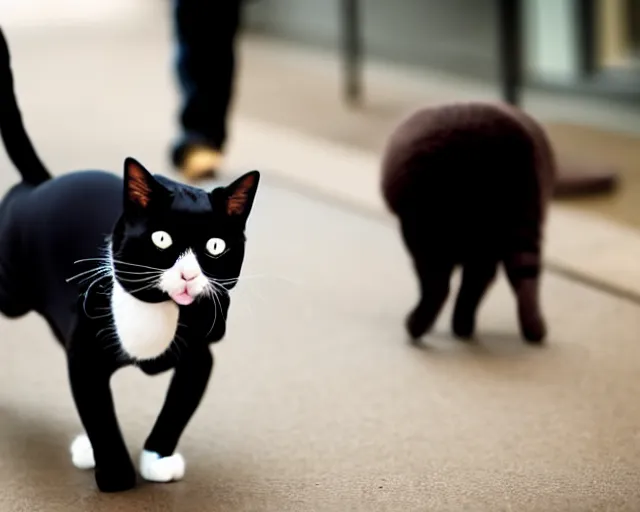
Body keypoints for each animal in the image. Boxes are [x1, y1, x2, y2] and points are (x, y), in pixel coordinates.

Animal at [0, 27, 262, 492]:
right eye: (161, 238)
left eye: (215, 247)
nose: (188, 274)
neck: (157, 312)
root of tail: (40, 182)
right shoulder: (85, 356)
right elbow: (99, 412)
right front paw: (118, 474)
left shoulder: (199, 357)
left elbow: (176, 410)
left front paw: (157, 458)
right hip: (11, 292)